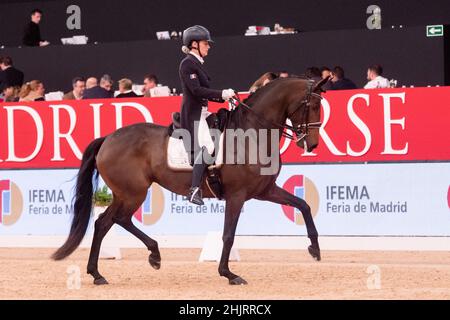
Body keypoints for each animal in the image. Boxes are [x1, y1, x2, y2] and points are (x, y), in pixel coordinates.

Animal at [53, 75, 330, 284]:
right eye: (313, 105)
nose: (312, 144)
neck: (252, 135)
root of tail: (108, 138)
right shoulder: (237, 195)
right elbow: (228, 235)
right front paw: (228, 274)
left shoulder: (265, 190)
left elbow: (303, 205)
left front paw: (315, 249)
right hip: (133, 193)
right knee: (118, 220)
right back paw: (153, 255)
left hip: (125, 193)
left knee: (103, 223)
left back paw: (98, 273)